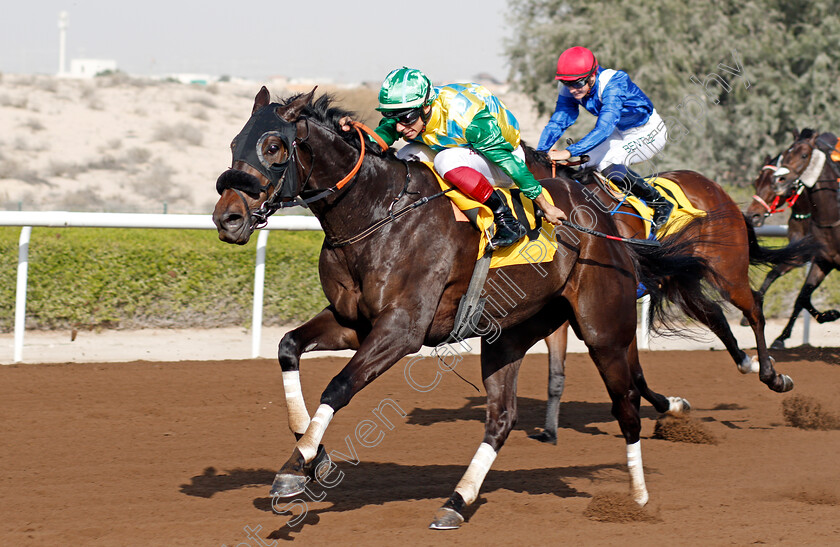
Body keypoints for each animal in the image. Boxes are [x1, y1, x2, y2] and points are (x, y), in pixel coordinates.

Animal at [213, 86, 720, 532]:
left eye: (273, 146)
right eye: (235, 142)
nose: (227, 218)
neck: (379, 214)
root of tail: (606, 220)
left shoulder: (402, 330)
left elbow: (338, 387)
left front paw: (295, 468)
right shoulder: (352, 322)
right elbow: (287, 346)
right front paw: (308, 452)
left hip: (603, 329)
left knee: (626, 404)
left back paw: (637, 499)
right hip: (509, 335)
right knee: (501, 418)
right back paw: (456, 502)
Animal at [524, 150, 812, 446]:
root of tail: (714, 186)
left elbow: (634, 374)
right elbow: (622, 374)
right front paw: (671, 405)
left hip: (727, 271)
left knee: (753, 308)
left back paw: (773, 376)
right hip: (682, 280)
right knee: (715, 316)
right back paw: (748, 363)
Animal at [760, 129, 840, 348]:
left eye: (804, 155)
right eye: (787, 153)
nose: (778, 181)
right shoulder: (822, 260)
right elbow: (802, 296)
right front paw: (830, 314)